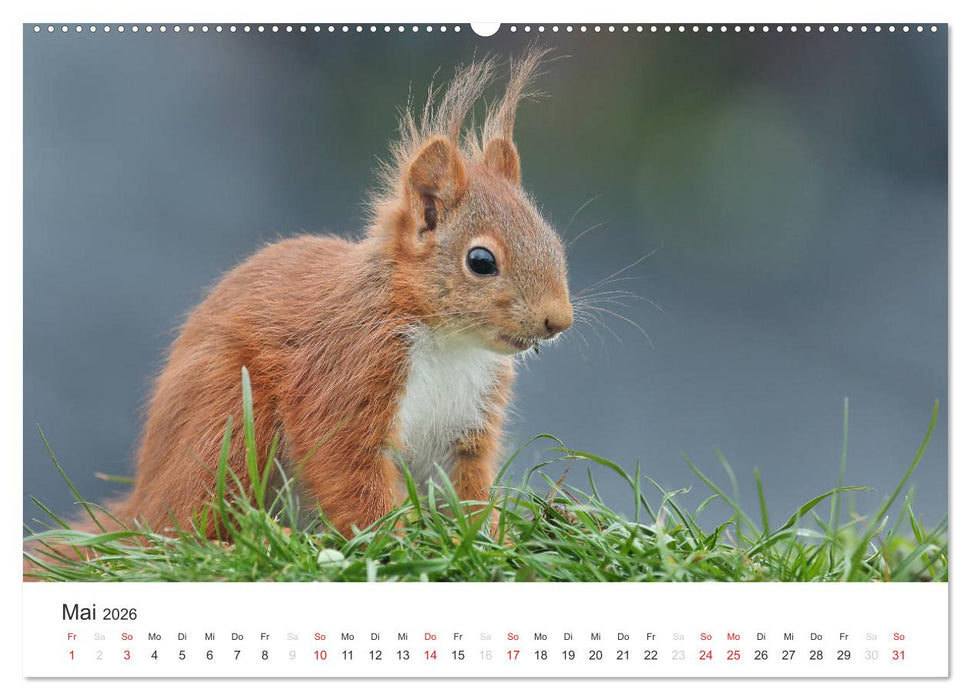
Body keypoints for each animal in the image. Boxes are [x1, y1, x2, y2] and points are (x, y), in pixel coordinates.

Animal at [51, 49, 573, 547]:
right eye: (481, 261)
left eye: (551, 237)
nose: (559, 320)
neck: (449, 343)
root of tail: (141, 497)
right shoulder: (347, 368)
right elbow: (346, 467)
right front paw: (392, 541)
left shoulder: (467, 426)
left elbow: (466, 494)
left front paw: (492, 537)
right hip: (226, 414)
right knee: (183, 524)